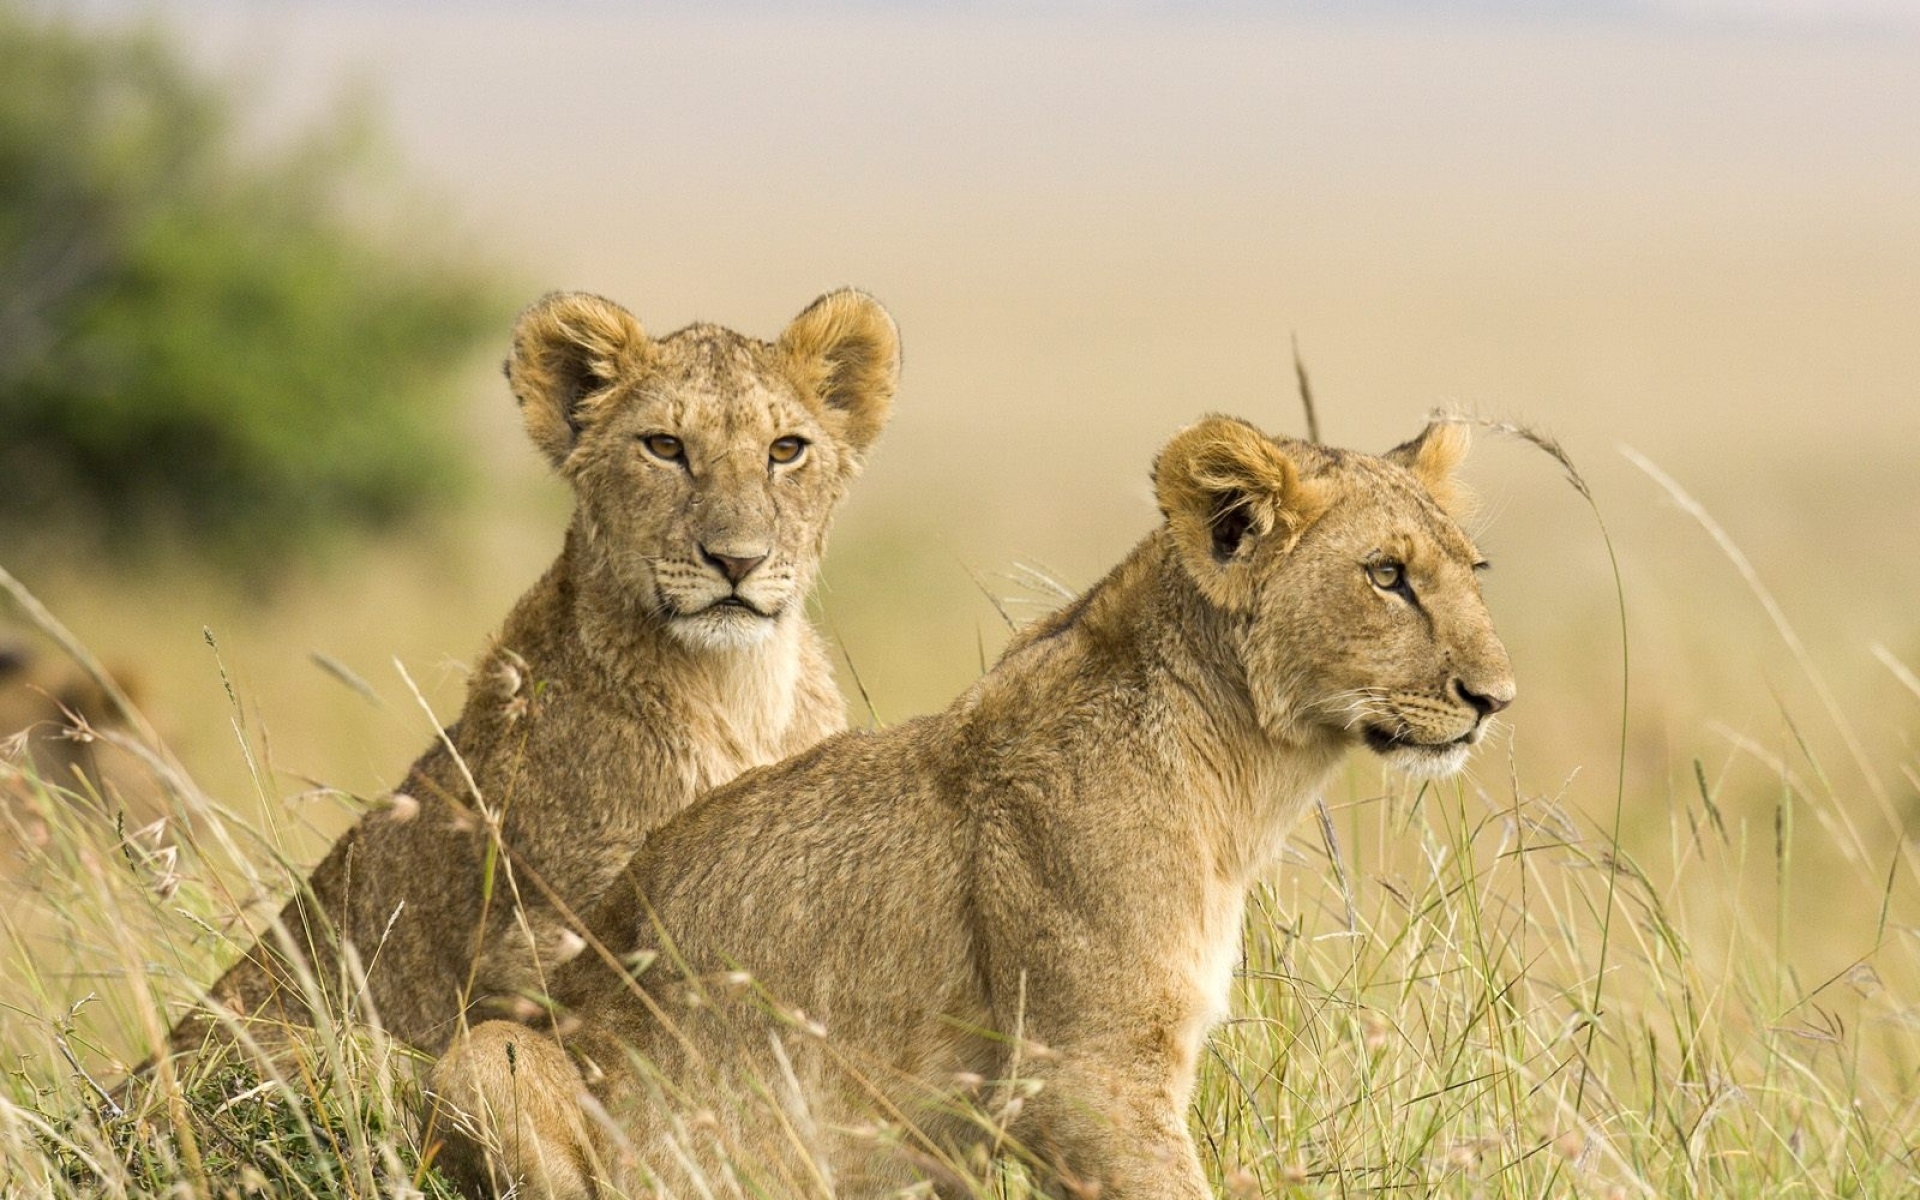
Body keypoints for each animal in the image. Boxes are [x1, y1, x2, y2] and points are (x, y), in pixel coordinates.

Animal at [428, 415, 1516, 1200]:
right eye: (1386, 576)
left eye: (1474, 571)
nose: (1495, 699)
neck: (1245, 780)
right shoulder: (1082, 1074)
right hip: (484, 1056)